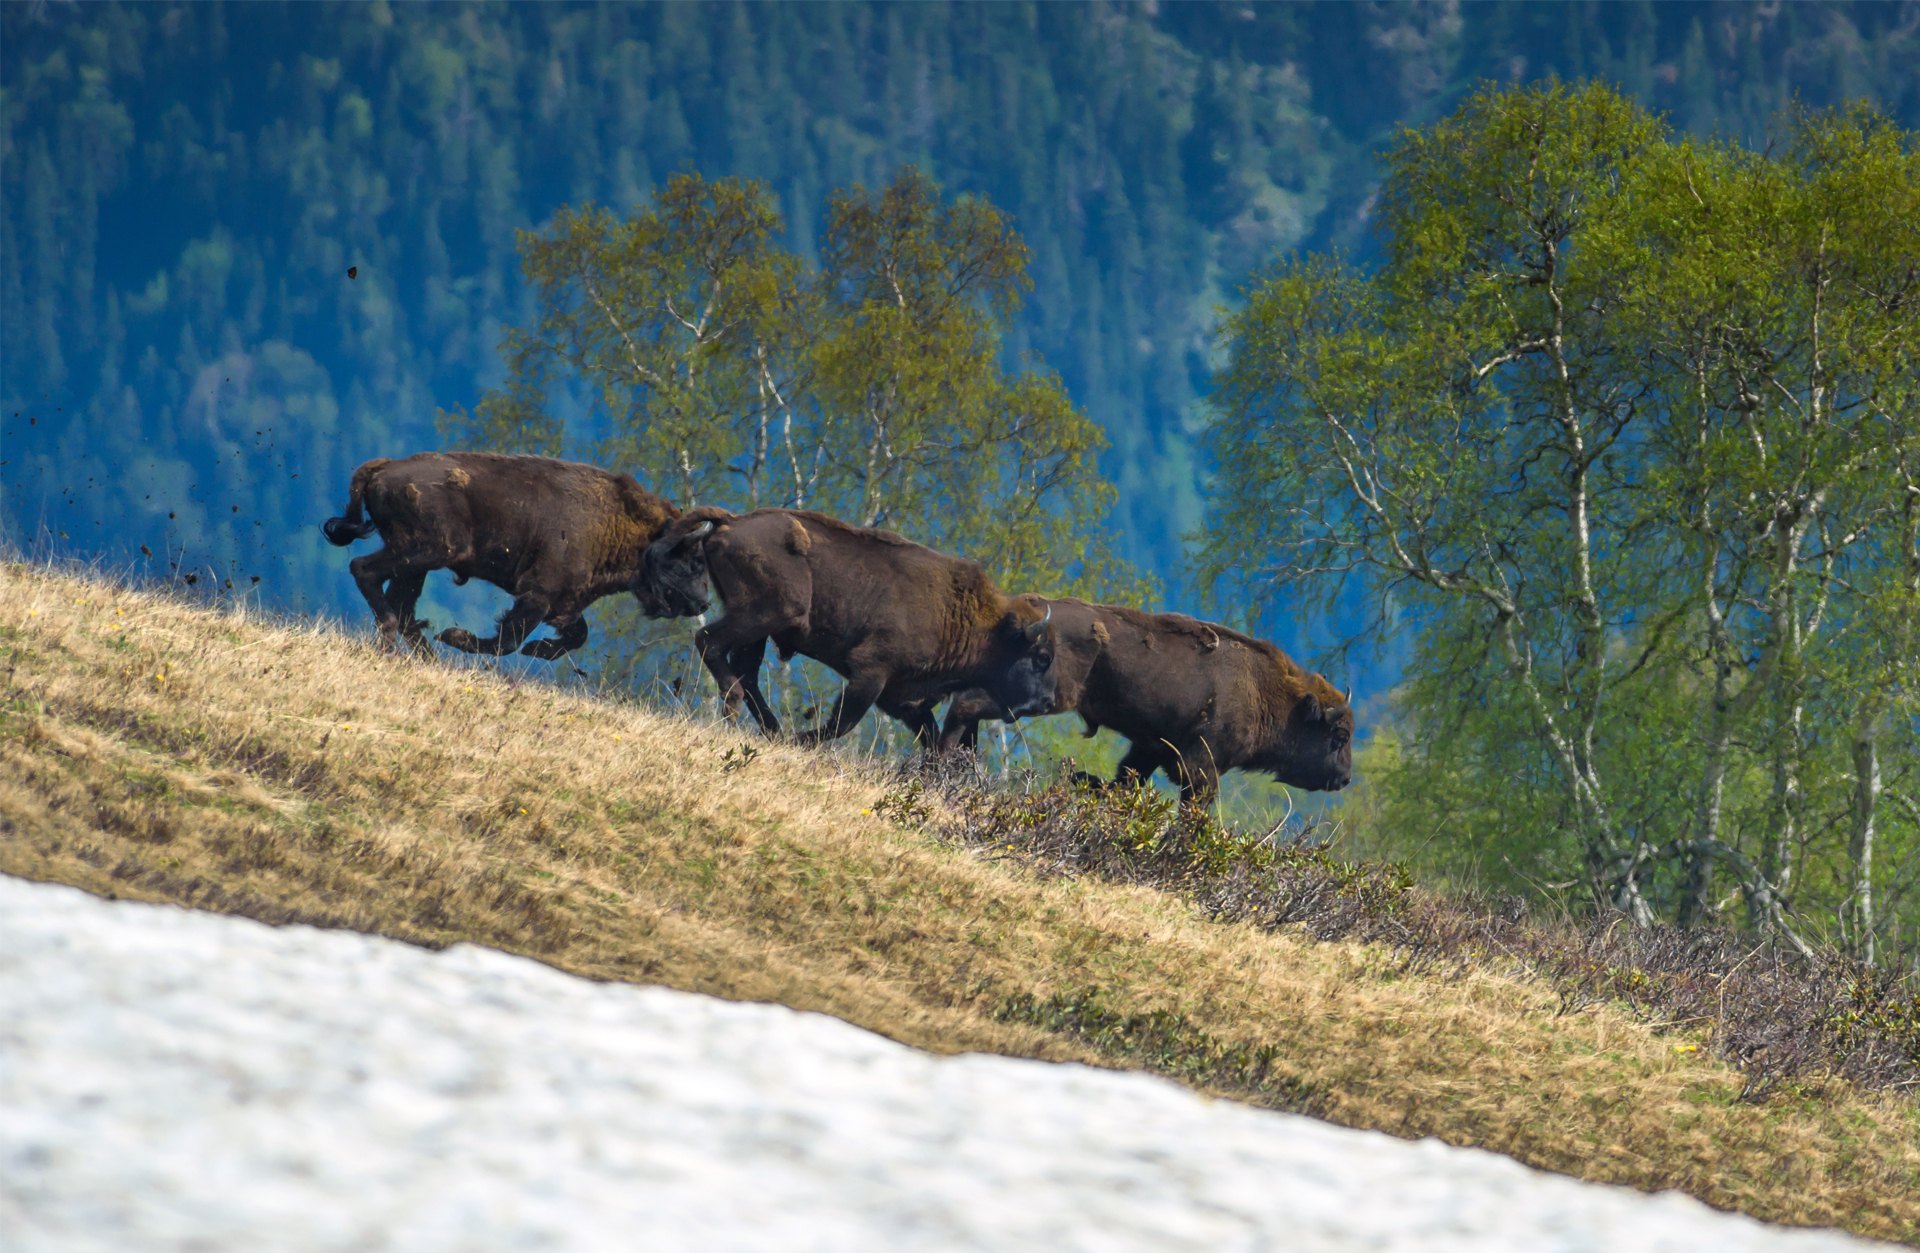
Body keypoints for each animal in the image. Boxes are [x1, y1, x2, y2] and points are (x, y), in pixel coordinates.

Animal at [328, 452, 683, 663]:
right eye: (678, 554)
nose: (691, 603)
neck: (615, 519)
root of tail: (384, 467)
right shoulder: (538, 594)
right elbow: (510, 639)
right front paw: (456, 637)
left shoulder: (563, 603)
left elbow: (576, 635)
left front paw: (538, 649)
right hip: (428, 551)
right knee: (365, 571)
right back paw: (393, 643)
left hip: (419, 562)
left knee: (400, 603)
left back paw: (430, 659)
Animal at [641, 506, 1067, 744]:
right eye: (1040, 657)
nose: (1047, 701)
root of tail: (732, 521)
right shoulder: (871, 673)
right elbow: (843, 722)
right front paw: (802, 741)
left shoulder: (904, 699)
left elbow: (929, 738)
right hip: (769, 613)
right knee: (710, 642)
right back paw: (738, 710)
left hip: (758, 625)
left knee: (744, 669)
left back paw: (771, 728)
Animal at [929, 594, 1351, 802]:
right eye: (1338, 737)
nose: (1345, 778)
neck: (1265, 690)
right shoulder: (1201, 767)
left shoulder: (1151, 750)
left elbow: (1125, 781)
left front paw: (1085, 781)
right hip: (1040, 697)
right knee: (966, 704)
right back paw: (941, 764)